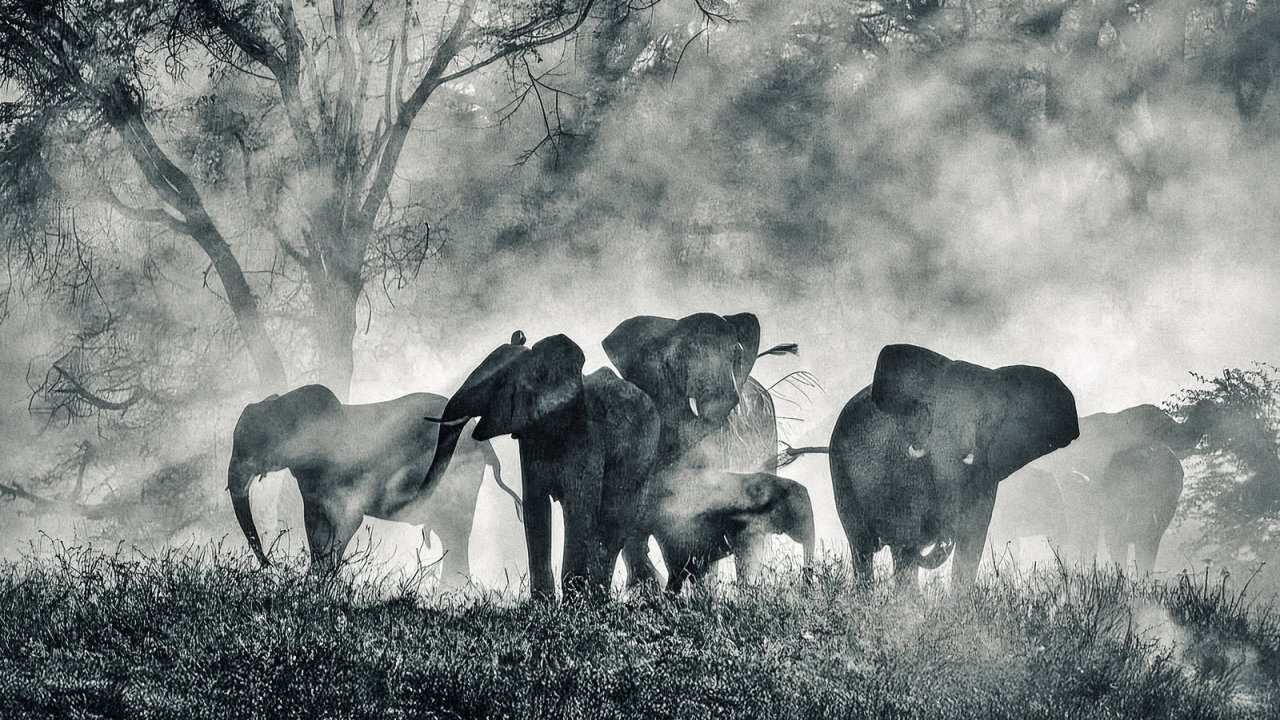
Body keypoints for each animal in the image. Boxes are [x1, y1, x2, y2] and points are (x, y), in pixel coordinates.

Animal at [226, 384, 522, 580]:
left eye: (255, 444)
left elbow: (347, 521)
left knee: (455, 533)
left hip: (458, 477)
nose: (271, 566)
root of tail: (486, 448)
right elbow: (315, 525)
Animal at [420, 332, 661, 599]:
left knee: (614, 522)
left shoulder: (587, 436)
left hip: (643, 457)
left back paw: (600, 599)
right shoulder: (530, 437)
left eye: (497, 385)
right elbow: (535, 508)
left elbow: (579, 509)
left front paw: (573, 603)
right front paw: (542, 603)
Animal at [829, 344, 1080, 587]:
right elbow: (906, 534)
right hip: (840, 470)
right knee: (863, 547)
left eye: (985, 419)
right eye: (931, 410)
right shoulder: (902, 465)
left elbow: (972, 537)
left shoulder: (986, 471)